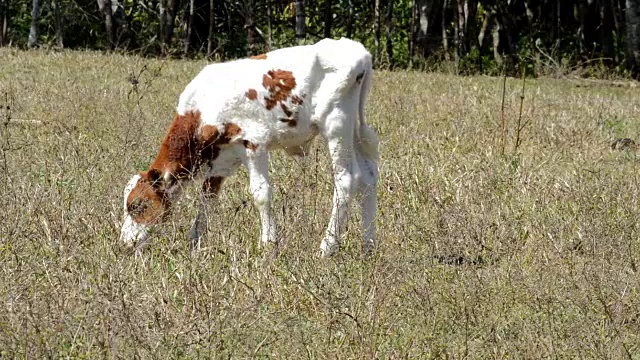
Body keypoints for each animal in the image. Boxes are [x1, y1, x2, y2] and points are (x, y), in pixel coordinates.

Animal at [120, 38, 380, 258]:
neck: (202, 109)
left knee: (346, 179)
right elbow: (207, 199)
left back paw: (327, 247)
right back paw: (367, 246)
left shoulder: (254, 143)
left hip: (337, 124)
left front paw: (269, 244)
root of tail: (359, 51)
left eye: (137, 205)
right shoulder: (219, 160)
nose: (126, 243)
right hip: (353, 129)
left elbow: (261, 194)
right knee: (367, 177)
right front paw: (194, 243)